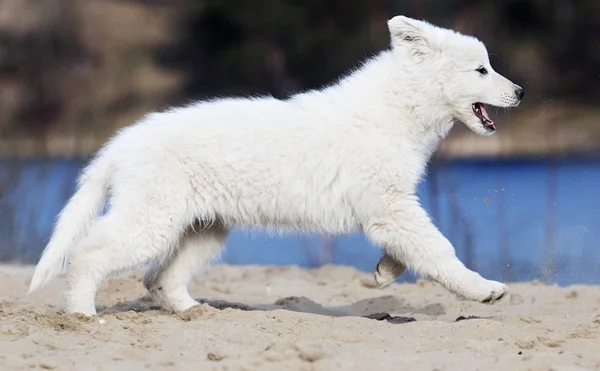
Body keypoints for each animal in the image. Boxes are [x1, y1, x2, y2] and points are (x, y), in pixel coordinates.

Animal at [28, 15, 524, 316]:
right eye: (481, 70)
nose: (520, 92)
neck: (401, 106)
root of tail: (122, 143)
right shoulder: (390, 205)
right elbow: (439, 248)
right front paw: (482, 289)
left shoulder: (391, 207)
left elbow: (416, 248)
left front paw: (385, 272)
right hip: (151, 219)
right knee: (89, 254)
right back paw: (82, 313)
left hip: (203, 228)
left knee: (158, 277)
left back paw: (195, 314)